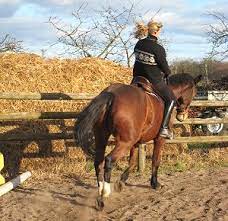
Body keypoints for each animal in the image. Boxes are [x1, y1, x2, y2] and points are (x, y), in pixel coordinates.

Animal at [74, 73, 202, 210]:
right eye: (194, 93)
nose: (182, 116)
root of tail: (111, 93)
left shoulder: (135, 143)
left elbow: (133, 162)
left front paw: (121, 182)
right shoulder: (159, 139)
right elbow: (155, 160)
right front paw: (155, 183)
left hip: (102, 137)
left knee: (98, 161)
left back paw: (100, 194)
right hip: (124, 142)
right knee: (109, 160)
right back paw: (105, 194)